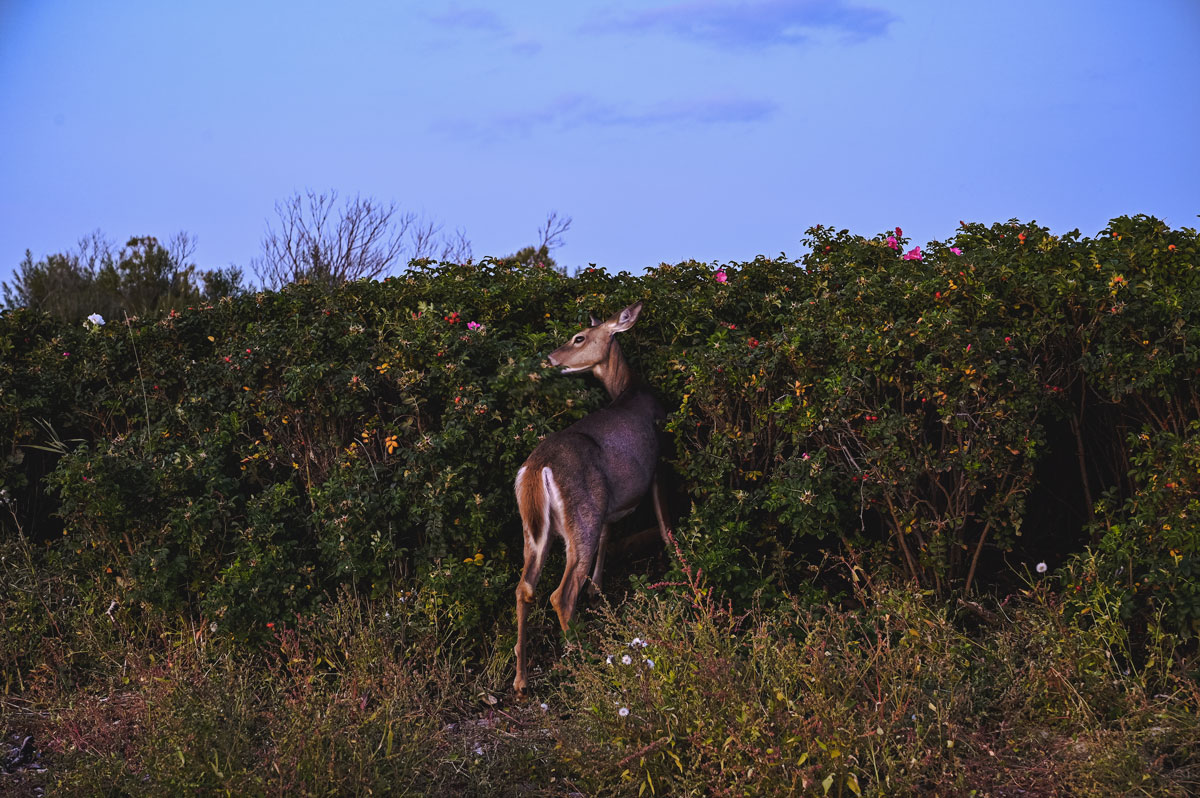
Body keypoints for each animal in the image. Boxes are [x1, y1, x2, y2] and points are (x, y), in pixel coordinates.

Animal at [511, 302, 672, 696]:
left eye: (579, 337)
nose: (551, 358)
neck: (628, 389)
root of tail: (536, 468)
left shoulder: (610, 503)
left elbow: (608, 536)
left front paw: (598, 589)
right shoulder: (659, 463)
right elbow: (664, 523)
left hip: (535, 525)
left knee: (525, 587)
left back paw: (521, 679)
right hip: (581, 512)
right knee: (561, 594)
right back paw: (585, 661)